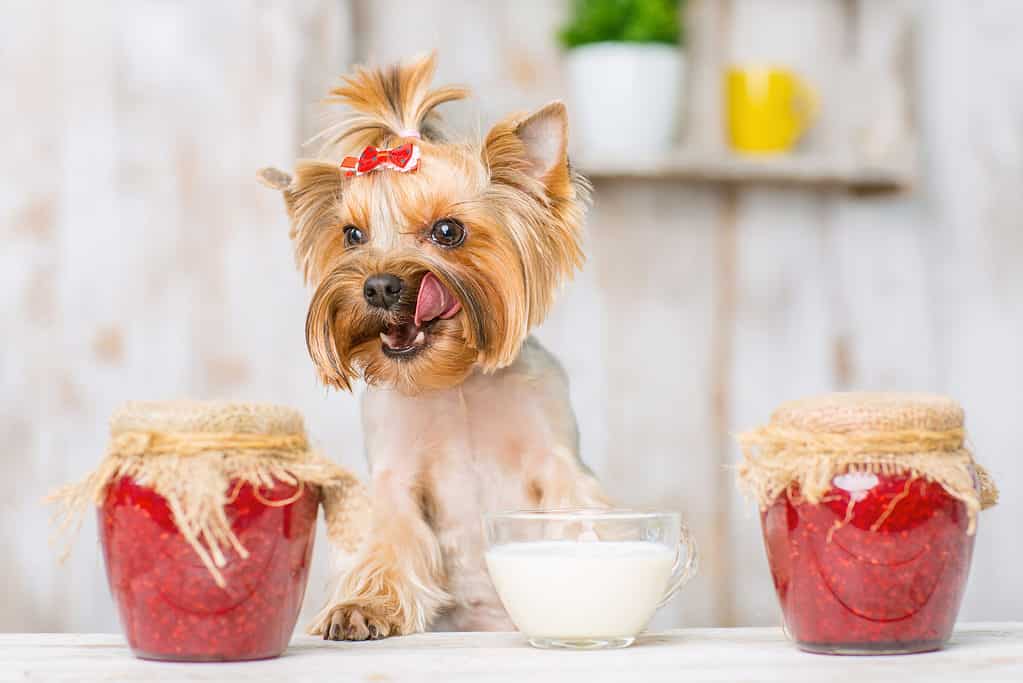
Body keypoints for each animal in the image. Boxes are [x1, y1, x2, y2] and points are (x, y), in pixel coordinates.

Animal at [257, 53, 605, 642]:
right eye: (352, 235)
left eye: (448, 231)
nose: (378, 287)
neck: (456, 380)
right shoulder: (394, 475)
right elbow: (390, 538)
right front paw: (363, 607)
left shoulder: (556, 459)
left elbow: (574, 521)